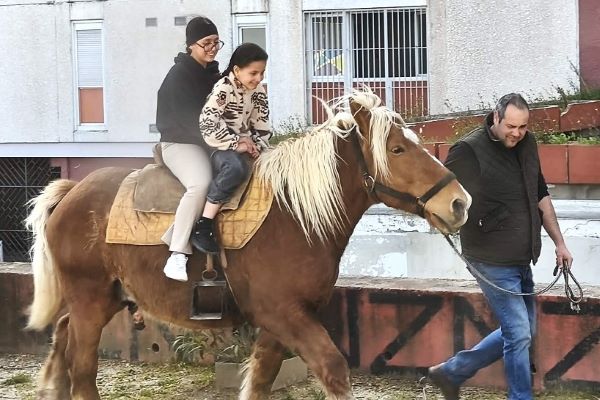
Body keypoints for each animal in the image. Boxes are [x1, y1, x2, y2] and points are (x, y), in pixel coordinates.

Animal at [25, 90, 470, 400]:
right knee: (82, 370)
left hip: (106, 299)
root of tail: (71, 191)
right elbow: (332, 369)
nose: (459, 202)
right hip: (91, 300)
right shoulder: (285, 316)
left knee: (63, 335)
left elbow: (259, 382)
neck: (293, 216)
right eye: (396, 148)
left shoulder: (279, 324)